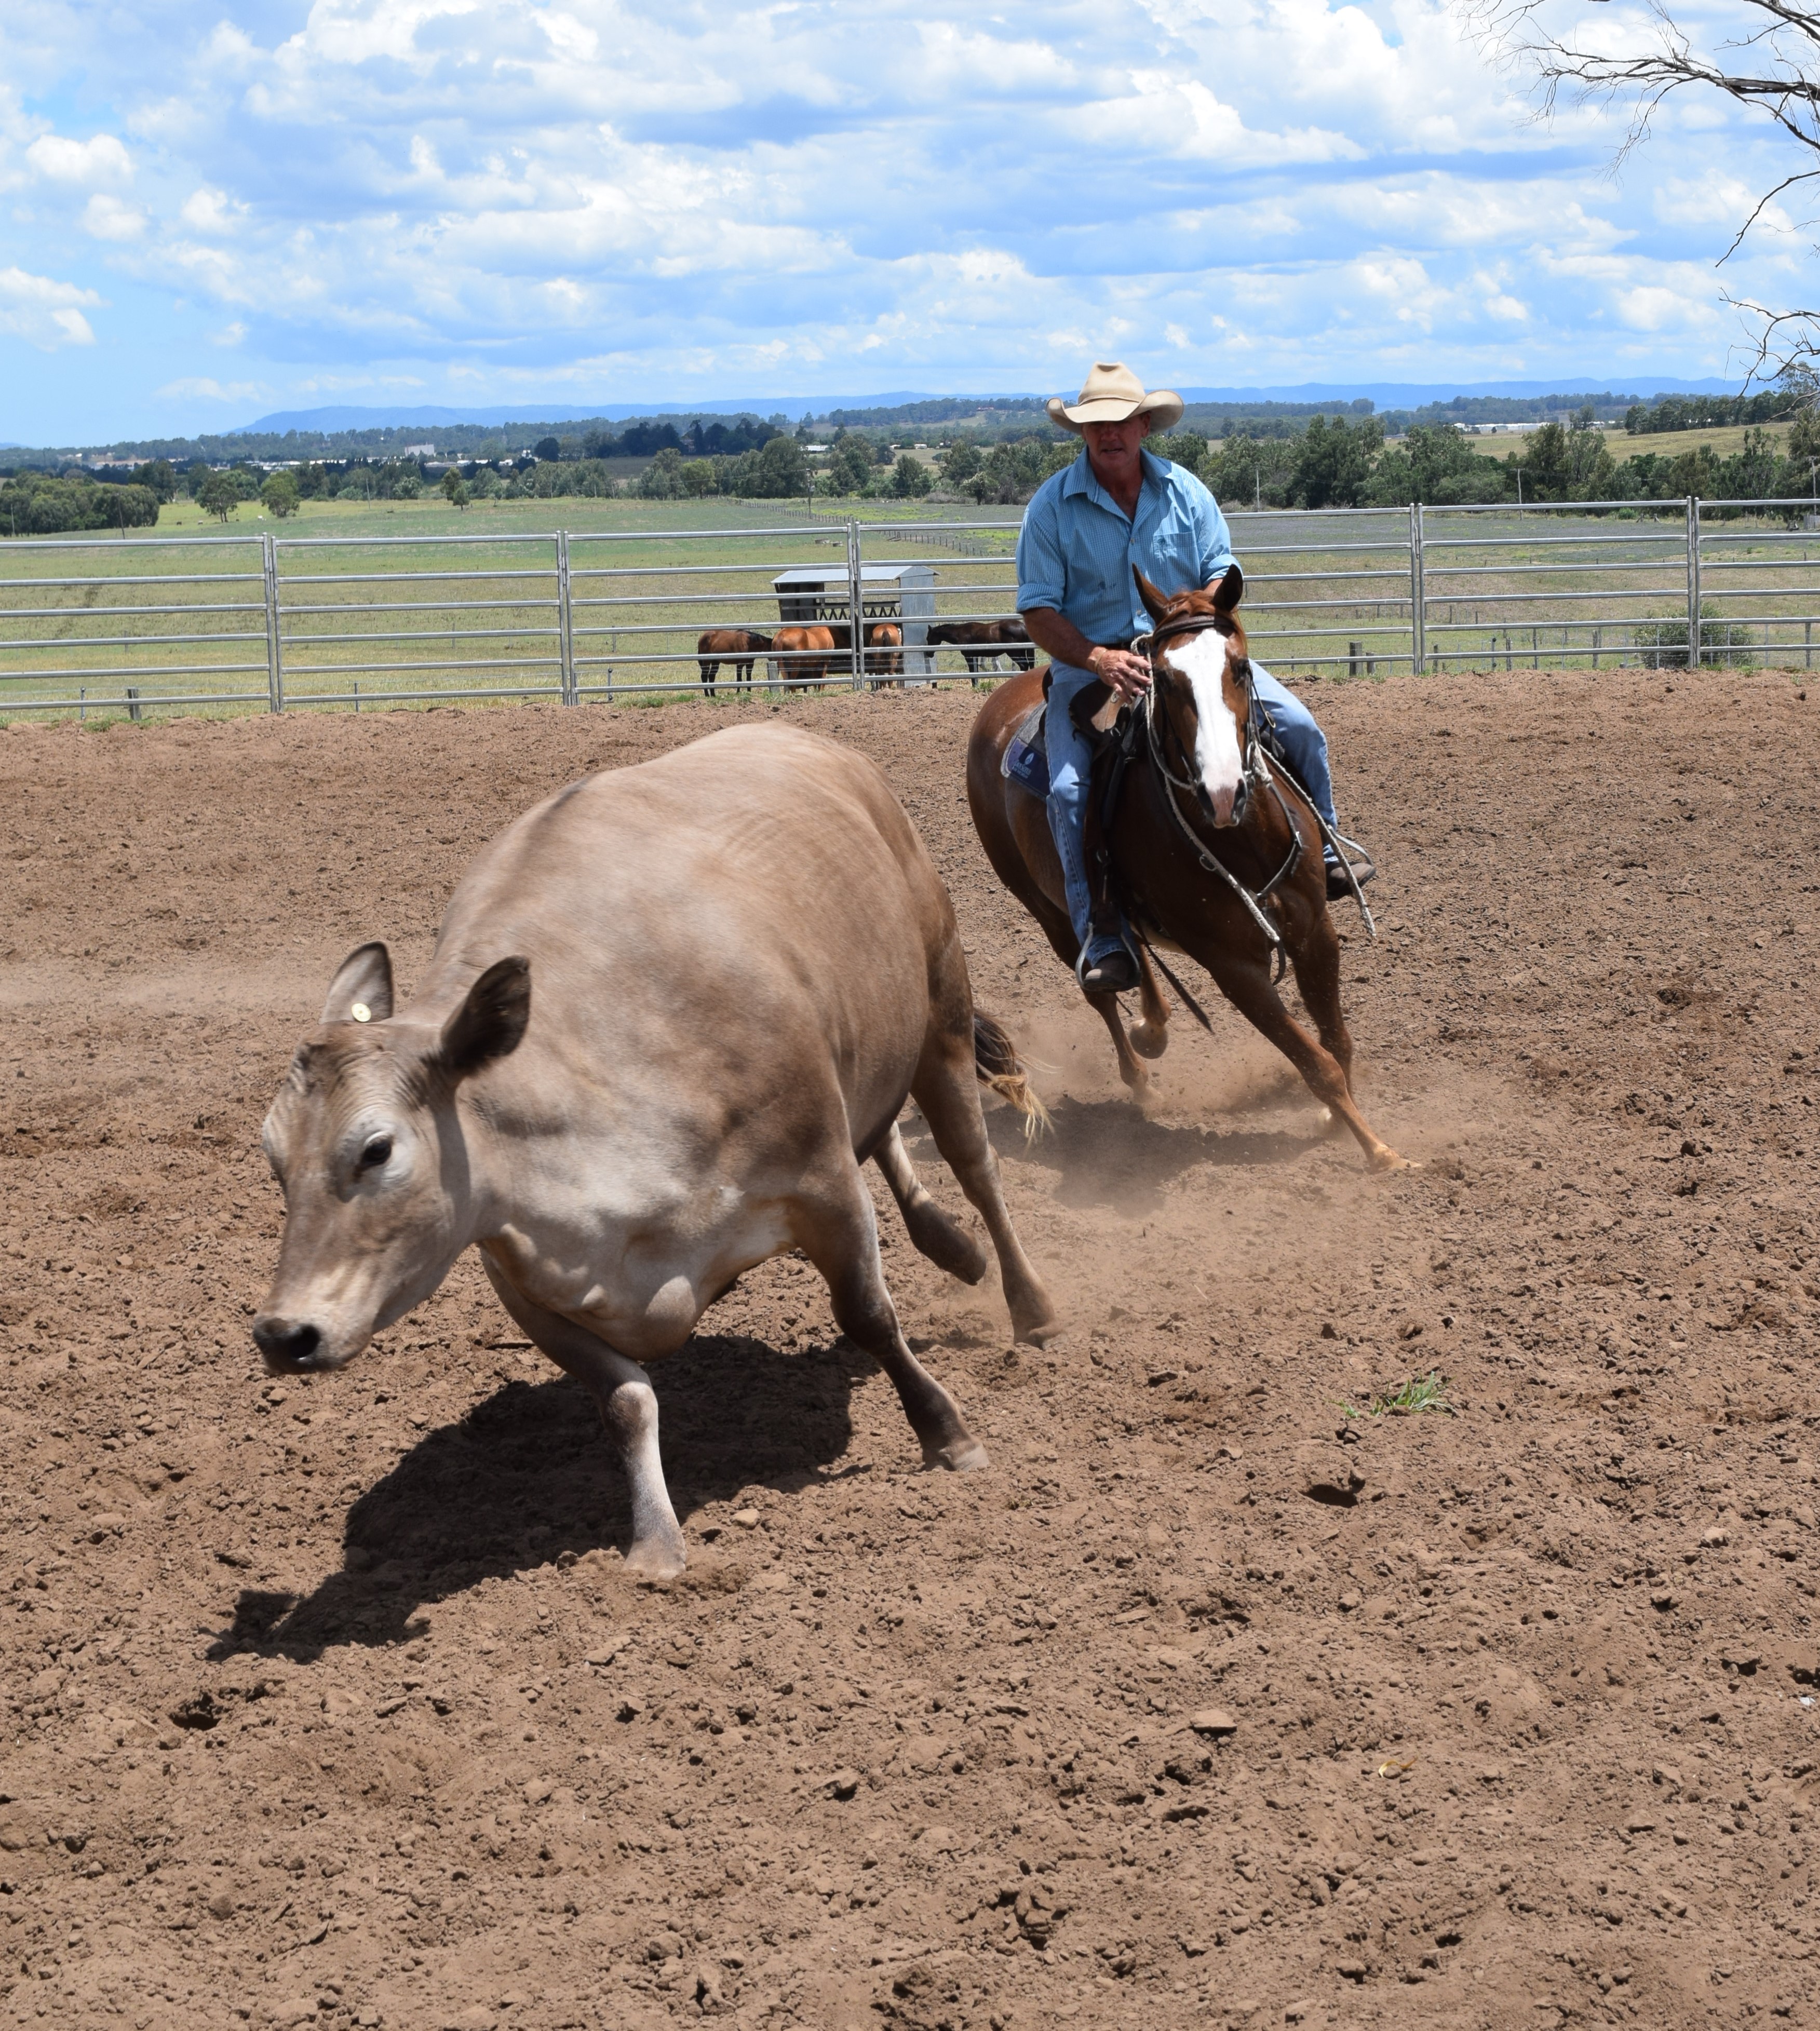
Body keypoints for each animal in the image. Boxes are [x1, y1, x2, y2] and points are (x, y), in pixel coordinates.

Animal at [252, 724, 1058, 1580]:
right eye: (273, 1155)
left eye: (376, 1149)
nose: (283, 1335)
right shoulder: (527, 1278)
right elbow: (625, 1401)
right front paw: (655, 1542)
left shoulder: (822, 1182)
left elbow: (869, 1314)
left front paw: (948, 1433)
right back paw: (952, 1244)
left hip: (942, 1011)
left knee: (976, 1170)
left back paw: (1030, 1307)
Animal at [696, 629, 772, 696]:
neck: (748, 643)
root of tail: (701, 638)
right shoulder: (740, 665)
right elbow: (739, 679)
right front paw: (738, 693)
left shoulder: (750, 665)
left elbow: (749, 679)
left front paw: (749, 692)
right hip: (707, 662)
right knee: (704, 676)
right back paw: (707, 695)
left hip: (715, 662)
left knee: (711, 677)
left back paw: (713, 695)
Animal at [964, 566, 1405, 1171]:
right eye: (1166, 681)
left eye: (1240, 667)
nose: (1222, 793)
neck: (1240, 837)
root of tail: (1002, 699)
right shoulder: (1231, 965)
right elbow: (1313, 1062)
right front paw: (1378, 1150)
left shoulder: (1314, 927)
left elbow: (1336, 1041)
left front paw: (1337, 1125)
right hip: (1045, 907)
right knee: (1099, 983)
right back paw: (1139, 1074)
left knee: (1128, 944)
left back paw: (1152, 1025)